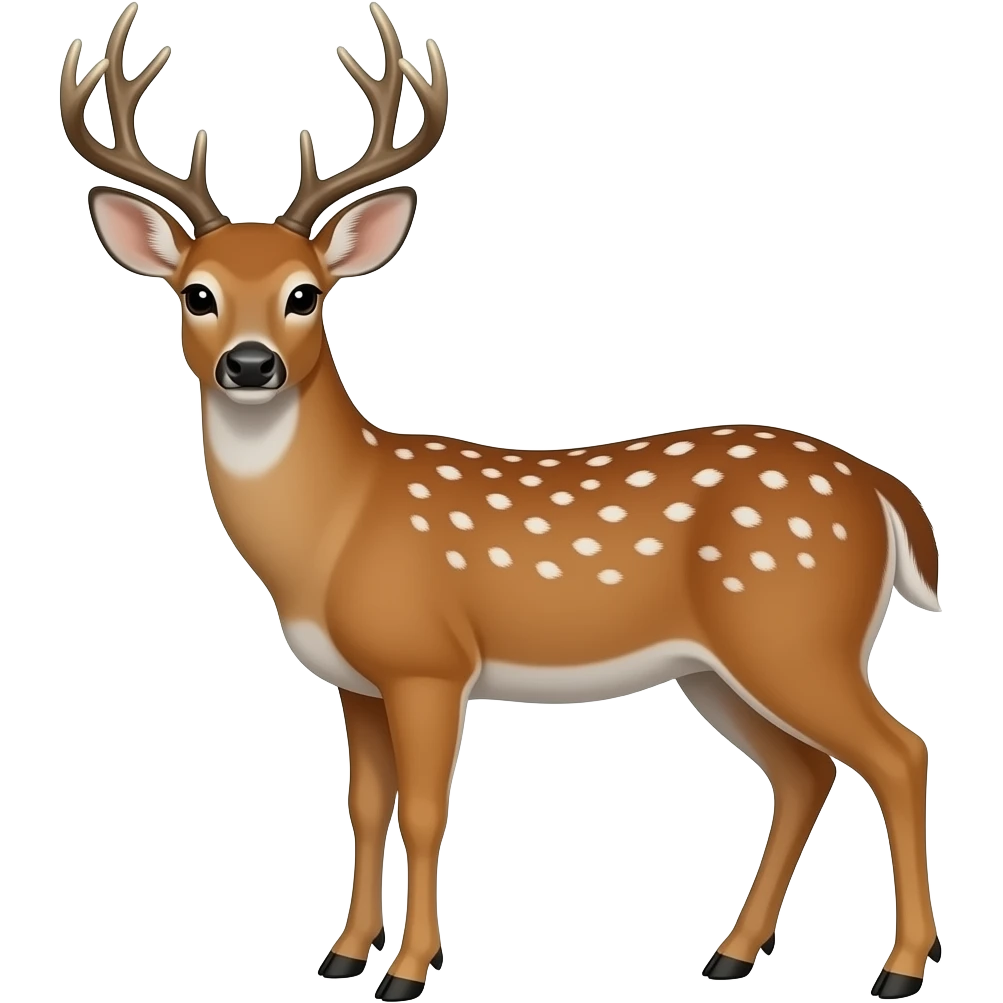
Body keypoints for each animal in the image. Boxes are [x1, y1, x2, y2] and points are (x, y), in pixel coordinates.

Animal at [58, 4, 943, 1000]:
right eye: (197, 294)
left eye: (306, 295)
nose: (253, 365)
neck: (334, 530)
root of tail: (881, 487)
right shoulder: (355, 679)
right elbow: (364, 805)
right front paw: (342, 953)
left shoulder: (429, 660)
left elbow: (424, 808)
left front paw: (408, 969)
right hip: (717, 666)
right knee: (804, 772)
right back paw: (730, 953)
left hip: (795, 629)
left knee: (898, 752)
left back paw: (898, 968)